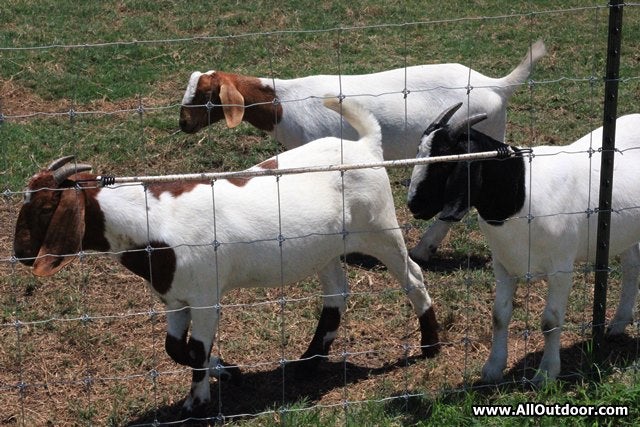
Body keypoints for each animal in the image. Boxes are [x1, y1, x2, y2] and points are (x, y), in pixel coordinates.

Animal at [13, 98, 440, 416]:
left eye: (48, 206)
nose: (19, 255)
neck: (152, 222)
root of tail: (365, 144)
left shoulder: (206, 297)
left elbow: (196, 350)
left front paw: (198, 401)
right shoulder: (175, 298)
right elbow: (176, 349)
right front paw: (230, 372)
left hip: (380, 228)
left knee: (412, 276)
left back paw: (430, 346)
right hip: (326, 249)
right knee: (336, 294)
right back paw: (307, 363)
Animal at [408, 103, 636, 384]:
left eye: (443, 162)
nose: (413, 205)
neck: (521, 191)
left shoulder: (561, 267)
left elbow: (551, 321)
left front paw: (546, 373)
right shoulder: (503, 264)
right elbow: (499, 315)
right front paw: (493, 368)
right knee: (632, 267)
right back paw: (618, 324)